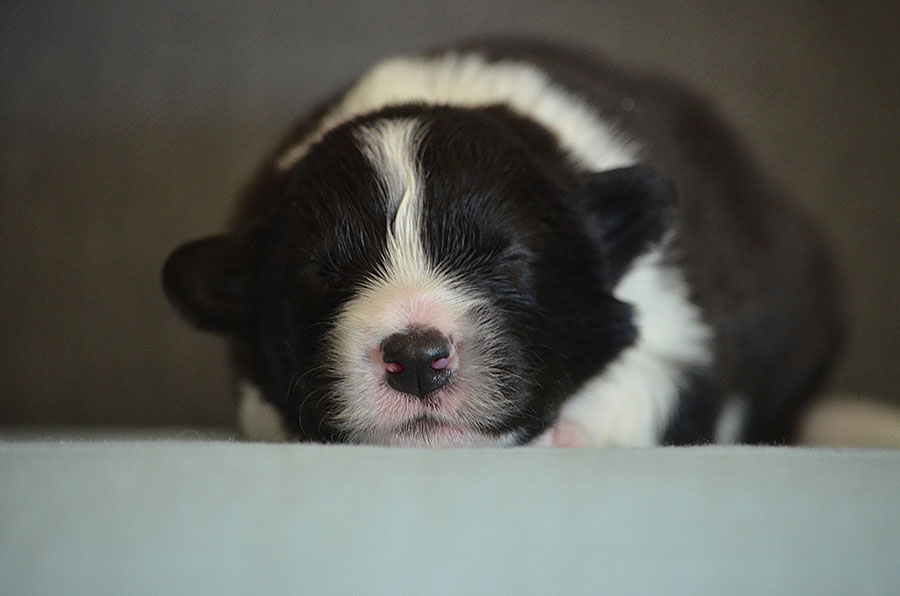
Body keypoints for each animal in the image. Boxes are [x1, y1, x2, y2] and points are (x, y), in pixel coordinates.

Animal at [163, 39, 844, 447]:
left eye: (506, 260)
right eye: (322, 274)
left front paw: (566, 433)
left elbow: (649, 386)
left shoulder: (682, 324)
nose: (416, 358)